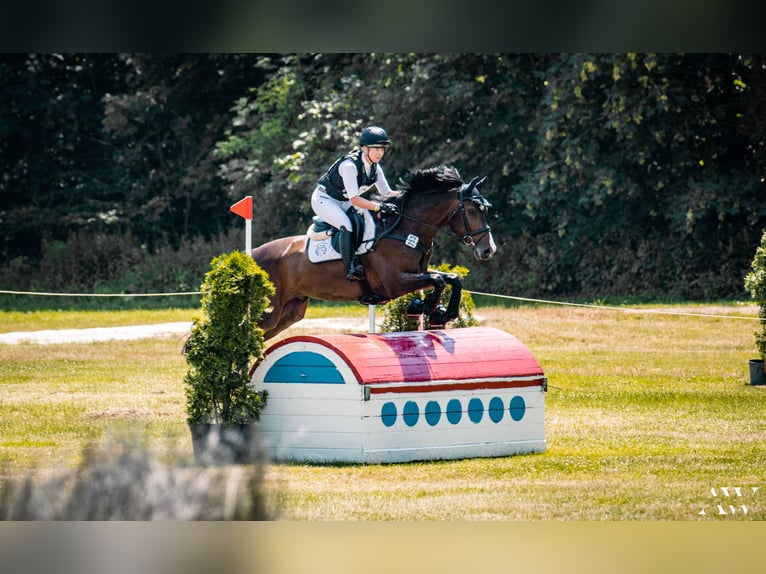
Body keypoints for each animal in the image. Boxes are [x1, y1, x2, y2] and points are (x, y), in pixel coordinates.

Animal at [252, 164, 498, 340]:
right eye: (472, 210)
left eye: (485, 210)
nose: (488, 250)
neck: (405, 229)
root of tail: (252, 255)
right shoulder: (394, 283)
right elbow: (438, 280)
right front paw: (425, 306)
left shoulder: (418, 271)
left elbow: (451, 279)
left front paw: (441, 312)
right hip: (269, 313)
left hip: (289, 313)